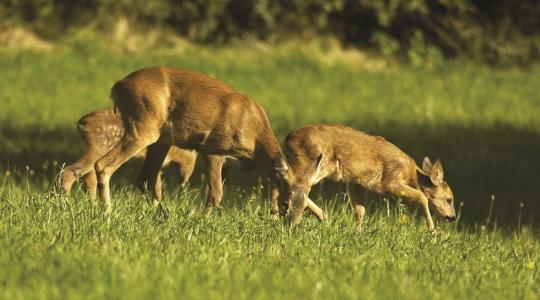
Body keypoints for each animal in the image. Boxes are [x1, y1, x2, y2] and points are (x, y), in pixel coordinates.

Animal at [61, 107, 196, 199]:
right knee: (69, 172)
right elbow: (155, 186)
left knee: (89, 178)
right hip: (99, 147)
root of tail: (81, 123)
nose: (184, 184)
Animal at [93, 67, 324, 219]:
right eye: (285, 203)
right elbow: (216, 194)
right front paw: (203, 220)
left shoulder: (234, 163)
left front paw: (324, 218)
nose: (291, 224)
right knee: (103, 165)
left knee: (145, 179)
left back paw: (164, 215)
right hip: (142, 128)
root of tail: (117, 86)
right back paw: (108, 211)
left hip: (161, 140)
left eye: (302, 207)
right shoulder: (214, 149)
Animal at [282, 124, 456, 232]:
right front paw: (432, 232)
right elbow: (422, 196)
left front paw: (357, 233)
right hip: (312, 163)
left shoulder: (356, 182)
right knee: (295, 182)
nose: (453, 217)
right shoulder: (390, 181)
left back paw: (322, 216)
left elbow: (360, 210)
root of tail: (288, 138)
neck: (411, 173)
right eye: (449, 199)